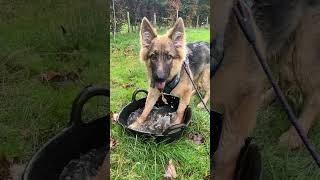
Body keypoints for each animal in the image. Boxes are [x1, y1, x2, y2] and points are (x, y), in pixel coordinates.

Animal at [212, 0, 320, 179]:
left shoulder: (243, 98)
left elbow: (224, 155)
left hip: (302, 53)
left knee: (315, 94)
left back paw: (295, 135)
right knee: (278, 81)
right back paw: (264, 100)